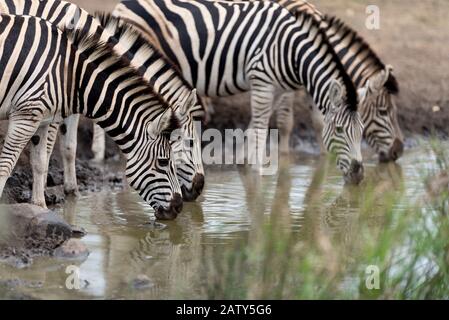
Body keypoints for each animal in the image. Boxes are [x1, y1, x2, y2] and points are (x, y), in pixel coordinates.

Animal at [0, 0, 206, 202]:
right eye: (190, 142)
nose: (199, 187)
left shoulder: (71, 101)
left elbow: (69, 147)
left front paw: (71, 190)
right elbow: (50, 148)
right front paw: (44, 189)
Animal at [114, 0, 366, 184]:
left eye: (361, 131)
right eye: (340, 129)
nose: (359, 174)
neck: (292, 49)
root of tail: (123, 4)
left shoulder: (275, 88)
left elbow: (255, 125)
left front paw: (245, 163)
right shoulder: (262, 80)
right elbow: (261, 130)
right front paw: (257, 172)